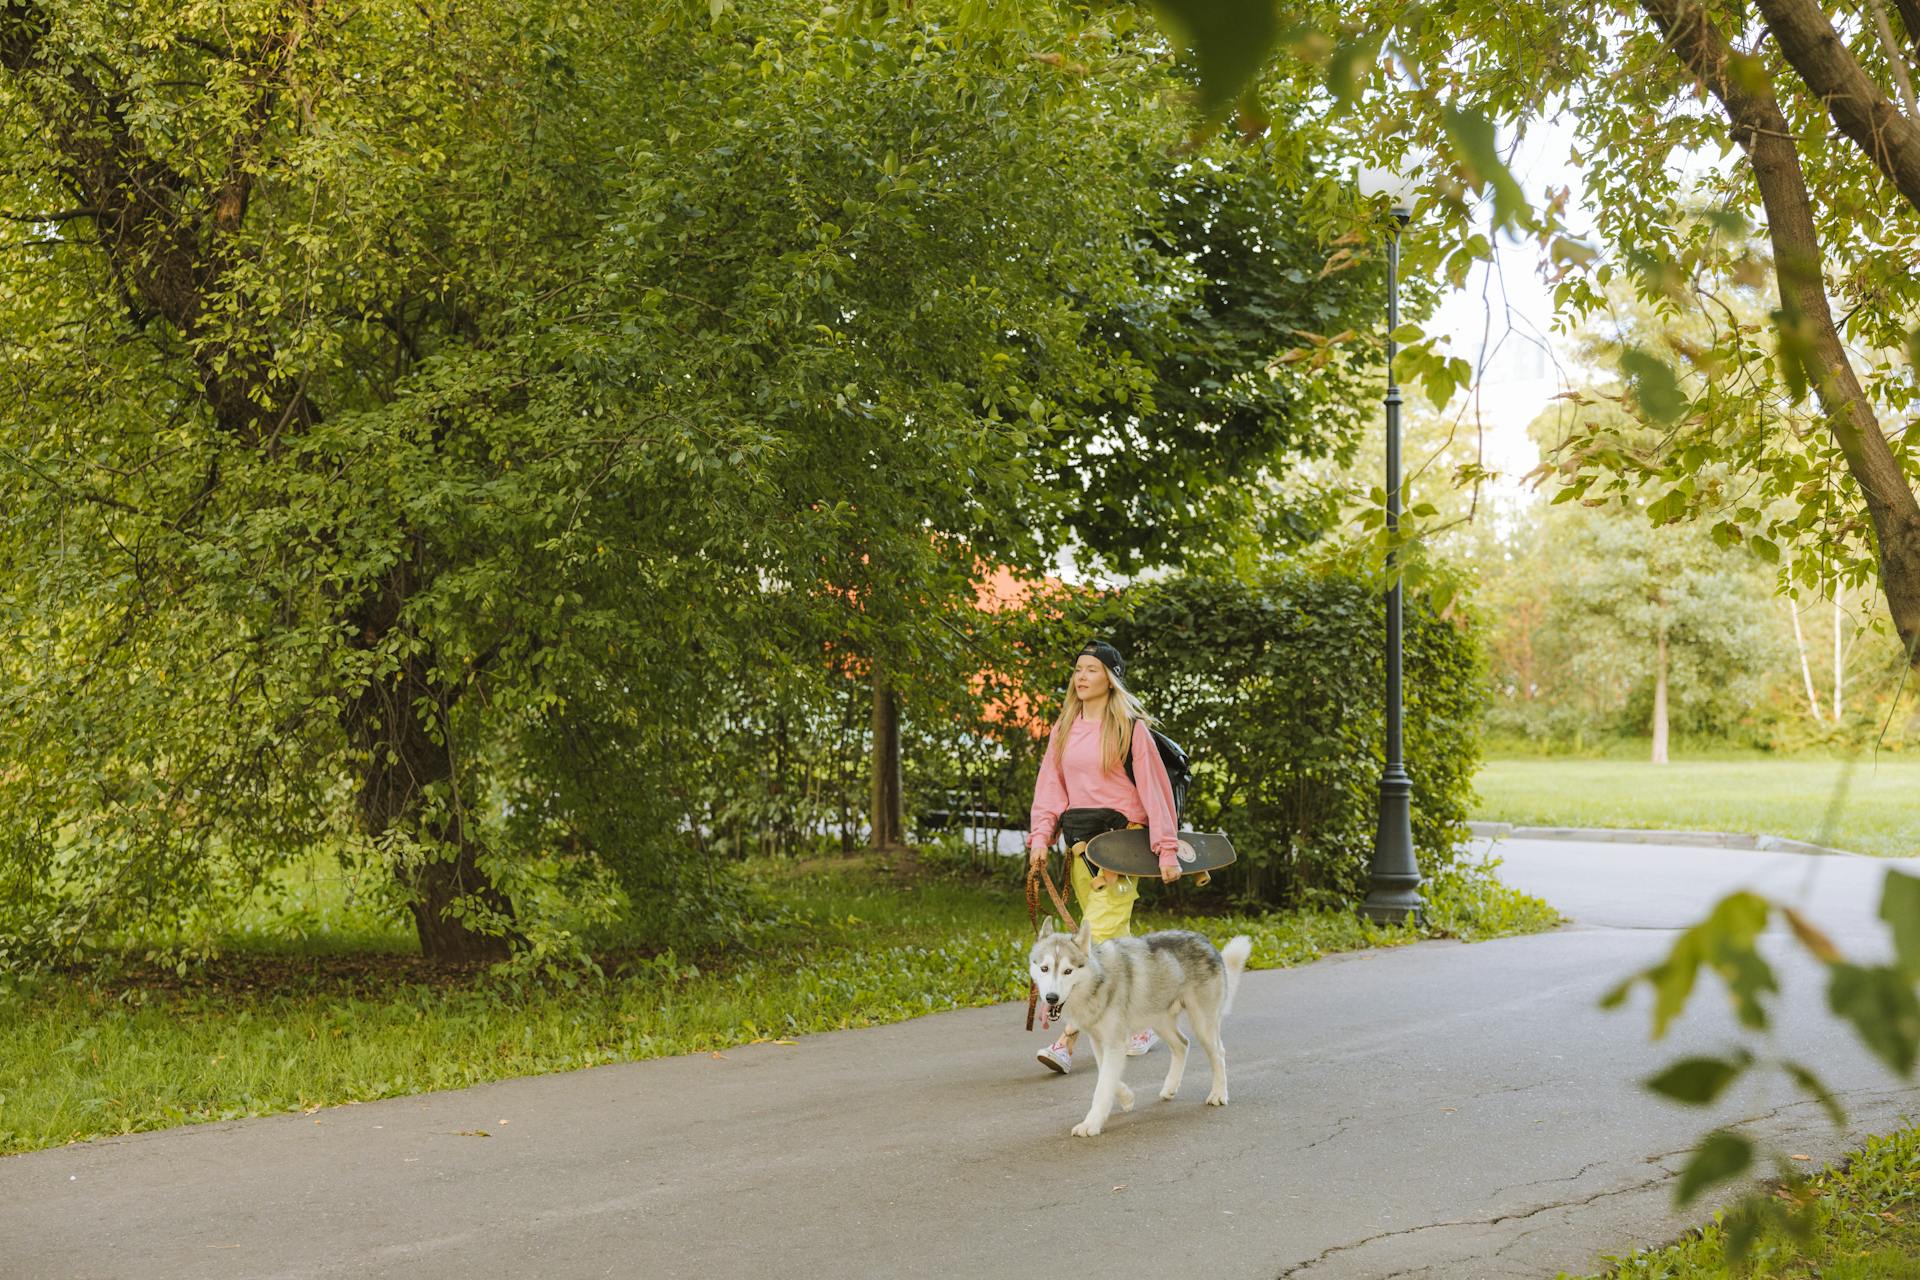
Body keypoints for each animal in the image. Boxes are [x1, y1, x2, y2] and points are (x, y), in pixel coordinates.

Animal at [1029, 921, 1251, 1143]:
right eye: (1044, 969)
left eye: (1068, 971)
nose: (1051, 998)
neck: (1099, 981)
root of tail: (1207, 942)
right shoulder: (1099, 1042)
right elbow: (1106, 1075)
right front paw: (1127, 1098)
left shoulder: (1116, 1043)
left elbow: (1102, 1088)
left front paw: (1091, 1124)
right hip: (1160, 1023)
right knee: (1183, 1045)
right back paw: (1170, 1088)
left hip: (1202, 1026)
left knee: (1218, 1054)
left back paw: (1219, 1094)